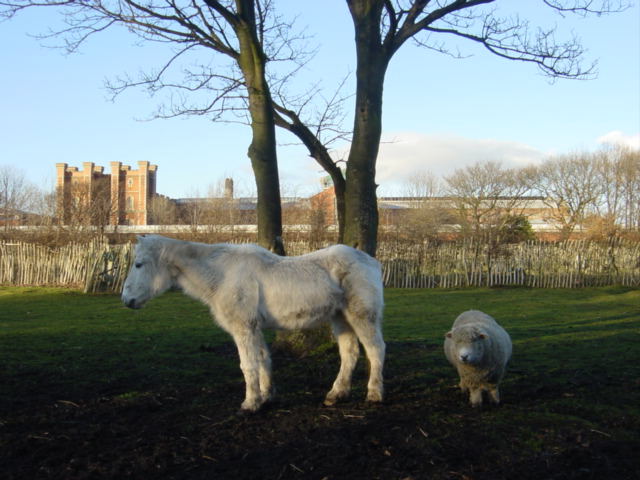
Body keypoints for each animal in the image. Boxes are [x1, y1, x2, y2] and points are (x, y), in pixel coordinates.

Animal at [124, 234, 384, 410]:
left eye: (138, 264)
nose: (126, 300)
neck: (221, 275)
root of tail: (372, 261)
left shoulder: (243, 328)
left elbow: (248, 365)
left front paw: (250, 404)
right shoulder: (254, 328)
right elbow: (262, 361)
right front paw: (266, 397)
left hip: (362, 316)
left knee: (375, 350)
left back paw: (374, 394)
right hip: (340, 318)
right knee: (350, 353)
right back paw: (336, 394)